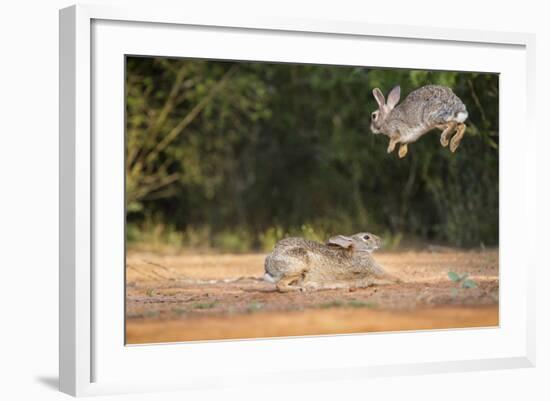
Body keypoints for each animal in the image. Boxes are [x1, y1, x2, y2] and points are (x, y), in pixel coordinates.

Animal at [264, 231, 398, 290]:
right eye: (366, 237)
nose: (380, 240)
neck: (358, 251)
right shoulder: (374, 269)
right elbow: (392, 277)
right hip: (298, 265)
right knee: (280, 285)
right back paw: (301, 289)